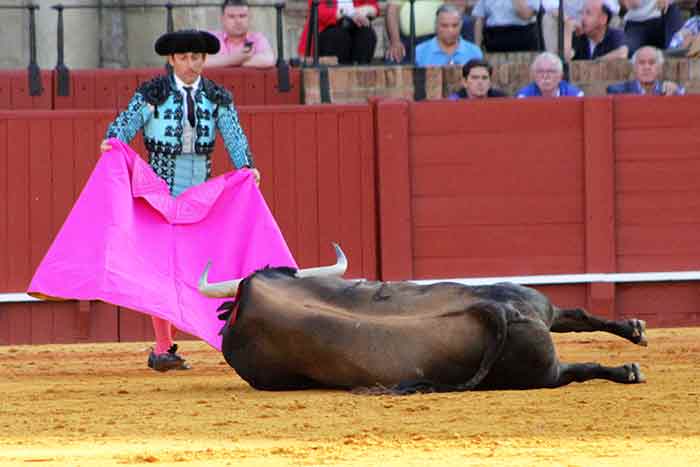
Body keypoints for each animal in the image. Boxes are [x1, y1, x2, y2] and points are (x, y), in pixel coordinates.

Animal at [209, 270, 652, 394]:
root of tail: (495, 309)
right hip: (537, 345)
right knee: (575, 348)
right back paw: (630, 360)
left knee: (575, 329)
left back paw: (633, 341)